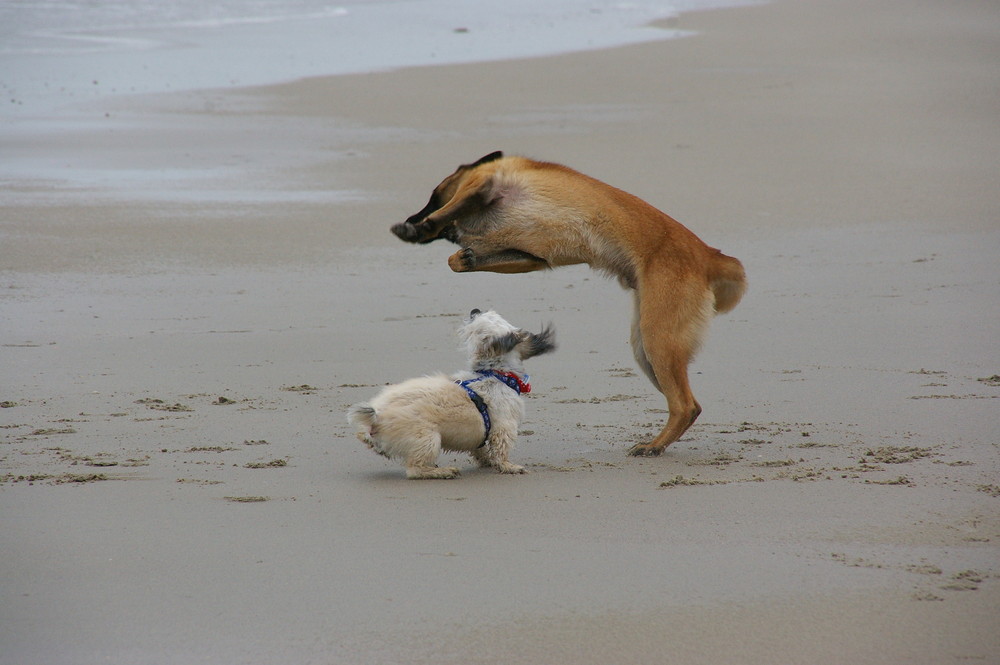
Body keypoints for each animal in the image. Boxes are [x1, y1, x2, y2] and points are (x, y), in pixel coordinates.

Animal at [350, 308, 556, 474]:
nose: (474, 310)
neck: (495, 373)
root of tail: (376, 417)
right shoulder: (504, 427)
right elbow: (501, 449)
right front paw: (508, 466)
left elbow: (481, 450)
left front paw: (487, 462)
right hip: (429, 439)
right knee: (415, 470)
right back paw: (442, 472)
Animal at [388, 150, 744, 454]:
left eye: (434, 195)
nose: (412, 216)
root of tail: (710, 256)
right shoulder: (534, 258)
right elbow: (459, 258)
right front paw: (459, 250)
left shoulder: (484, 186)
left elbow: (447, 217)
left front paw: (421, 227)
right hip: (646, 349)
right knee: (687, 405)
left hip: (659, 341)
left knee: (685, 405)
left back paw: (653, 446)